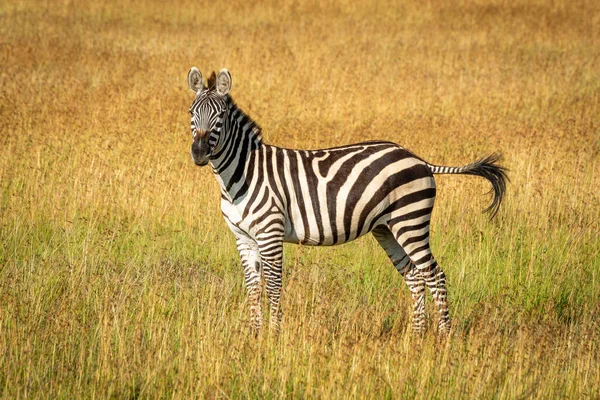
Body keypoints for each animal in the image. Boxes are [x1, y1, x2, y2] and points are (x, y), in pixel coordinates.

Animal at [188, 66, 506, 334]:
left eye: (220, 118)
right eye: (191, 114)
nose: (199, 152)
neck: (241, 174)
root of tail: (419, 160)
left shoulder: (270, 233)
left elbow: (274, 286)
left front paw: (273, 337)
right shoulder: (243, 237)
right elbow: (253, 288)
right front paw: (254, 336)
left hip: (410, 222)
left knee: (435, 276)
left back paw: (443, 337)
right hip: (387, 228)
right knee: (415, 278)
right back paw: (416, 337)